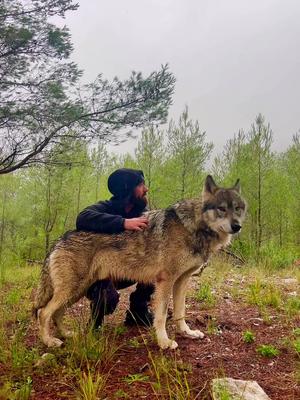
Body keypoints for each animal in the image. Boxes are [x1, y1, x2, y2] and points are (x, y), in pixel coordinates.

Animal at [34, 177, 247, 348]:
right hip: (72, 290)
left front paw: (187, 333)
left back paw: (67, 334)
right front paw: (164, 342)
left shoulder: (182, 281)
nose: (237, 226)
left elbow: (180, 312)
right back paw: (50, 342)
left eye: (237, 208)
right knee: (44, 313)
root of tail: (59, 240)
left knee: (57, 313)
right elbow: (162, 315)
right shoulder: (166, 280)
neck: (194, 227)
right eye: (222, 209)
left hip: (76, 291)